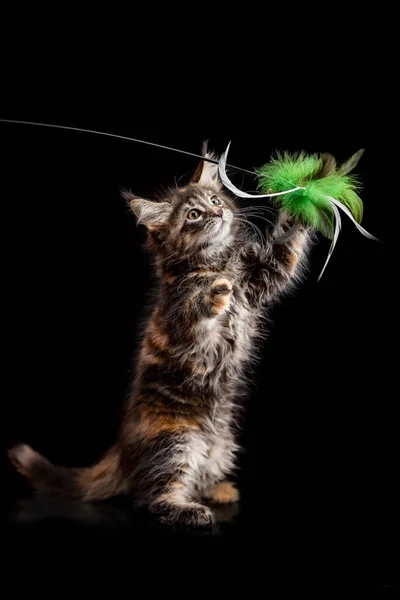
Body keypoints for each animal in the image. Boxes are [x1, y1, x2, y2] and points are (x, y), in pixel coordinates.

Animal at [7, 145, 312, 524]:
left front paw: (305, 194)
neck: (216, 262)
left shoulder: (261, 277)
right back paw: (189, 510)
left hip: (221, 448)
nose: (218, 211)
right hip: (177, 442)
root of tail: (122, 453)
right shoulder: (181, 318)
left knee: (188, 480)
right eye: (194, 214)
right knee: (153, 496)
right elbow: (197, 309)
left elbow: (287, 246)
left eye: (215, 199)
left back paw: (218, 491)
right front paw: (215, 292)